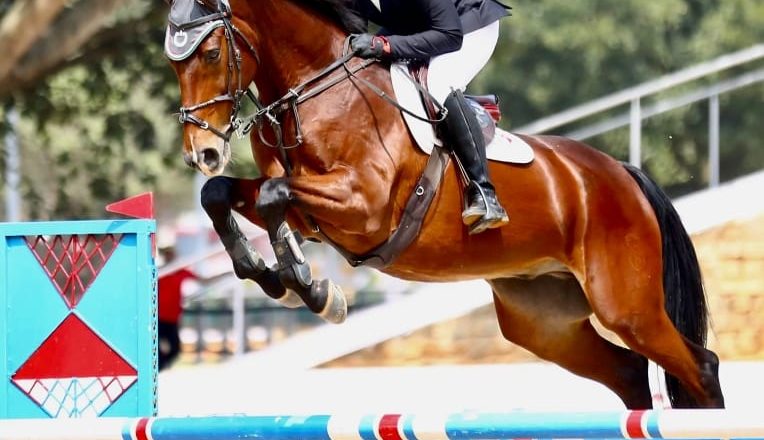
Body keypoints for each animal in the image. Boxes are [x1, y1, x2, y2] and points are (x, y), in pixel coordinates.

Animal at [164, 0, 725, 409]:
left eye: (211, 54)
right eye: (174, 62)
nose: (203, 154)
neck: (314, 92)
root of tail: (622, 174)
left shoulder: (361, 206)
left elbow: (273, 197)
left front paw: (313, 289)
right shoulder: (311, 209)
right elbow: (226, 196)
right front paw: (278, 278)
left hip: (627, 305)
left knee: (700, 365)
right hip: (543, 320)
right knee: (631, 373)